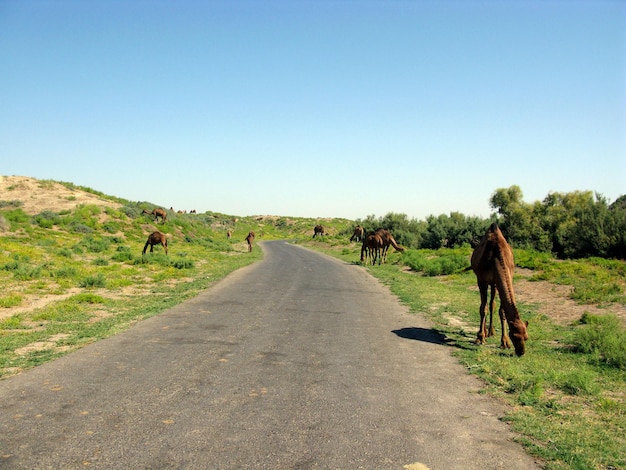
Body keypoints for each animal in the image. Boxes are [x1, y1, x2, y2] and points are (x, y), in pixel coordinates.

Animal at [470, 222, 524, 358]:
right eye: (515, 336)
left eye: (525, 337)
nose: (521, 352)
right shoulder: (482, 280)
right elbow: (482, 308)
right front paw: (480, 338)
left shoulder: (501, 279)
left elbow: (501, 310)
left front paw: (504, 342)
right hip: (484, 281)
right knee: (485, 305)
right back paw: (484, 332)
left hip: (494, 284)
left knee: (492, 304)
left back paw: (491, 331)